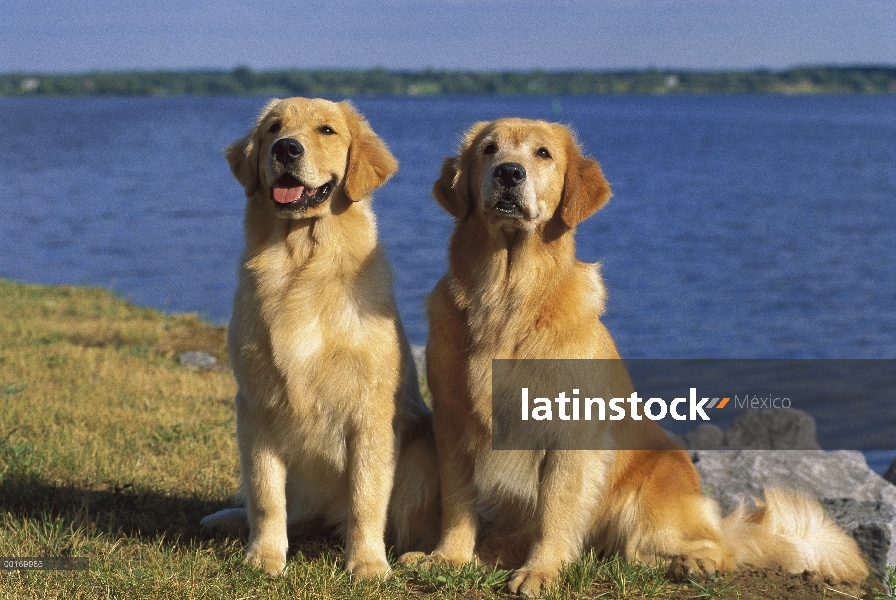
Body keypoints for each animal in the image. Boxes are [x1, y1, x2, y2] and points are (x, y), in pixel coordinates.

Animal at [202, 96, 440, 580]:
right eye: (273, 128)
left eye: (326, 130)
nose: (286, 149)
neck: (301, 261)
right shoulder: (255, 406)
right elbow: (266, 496)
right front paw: (264, 557)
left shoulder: (370, 412)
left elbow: (366, 499)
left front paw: (367, 563)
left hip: (421, 459)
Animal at [420, 117, 868, 596]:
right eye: (489, 149)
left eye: (543, 154)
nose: (509, 173)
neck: (508, 298)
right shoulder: (453, 420)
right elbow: (458, 501)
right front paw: (447, 557)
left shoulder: (568, 435)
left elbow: (555, 512)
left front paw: (541, 571)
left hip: (653, 499)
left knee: (710, 547)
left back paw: (694, 563)